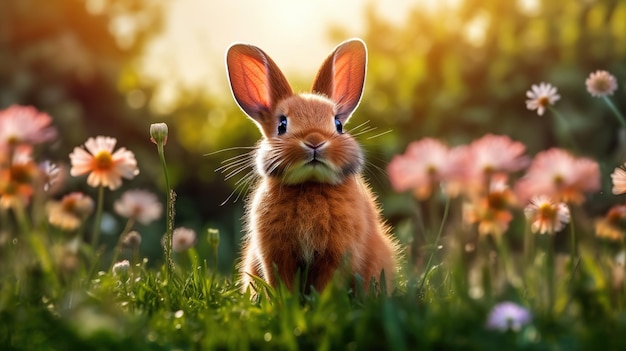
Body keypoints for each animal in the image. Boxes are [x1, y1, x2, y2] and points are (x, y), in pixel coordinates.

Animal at [227, 38, 398, 296]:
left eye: (338, 124)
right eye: (282, 125)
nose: (315, 141)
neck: (310, 184)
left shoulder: (337, 254)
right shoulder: (276, 253)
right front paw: (284, 301)